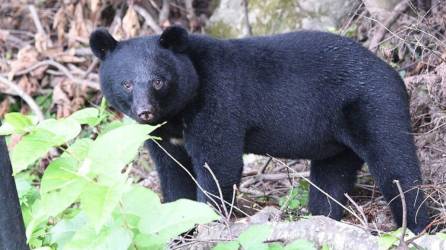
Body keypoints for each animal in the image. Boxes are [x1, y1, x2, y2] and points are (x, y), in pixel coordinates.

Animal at [89, 26, 428, 233]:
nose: (145, 111)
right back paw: (321, 217)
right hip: (336, 139)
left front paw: (208, 221)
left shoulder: (218, 101)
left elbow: (218, 164)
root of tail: (392, 72)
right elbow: (173, 173)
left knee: (395, 165)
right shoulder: (162, 135)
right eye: (126, 83)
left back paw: (415, 225)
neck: (177, 113)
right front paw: (177, 225)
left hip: (374, 105)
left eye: (159, 81)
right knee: (330, 179)